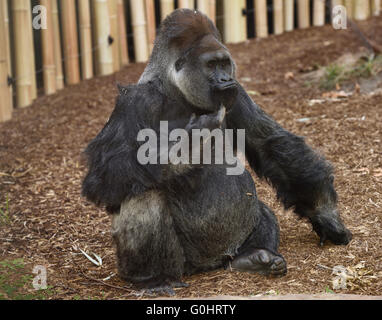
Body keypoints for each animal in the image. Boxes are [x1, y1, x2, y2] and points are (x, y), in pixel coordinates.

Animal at [82, 9, 354, 296]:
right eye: (211, 65)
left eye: (224, 64)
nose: (225, 79)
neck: (173, 89)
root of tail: (211, 263)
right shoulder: (134, 102)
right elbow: (104, 175)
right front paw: (189, 144)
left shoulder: (237, 92)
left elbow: (269, 144)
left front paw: (325, 214)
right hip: (185, 265)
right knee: (142, 196)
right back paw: (153, 279)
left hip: (229, 249)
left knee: (258, 213)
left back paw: (252, 258)